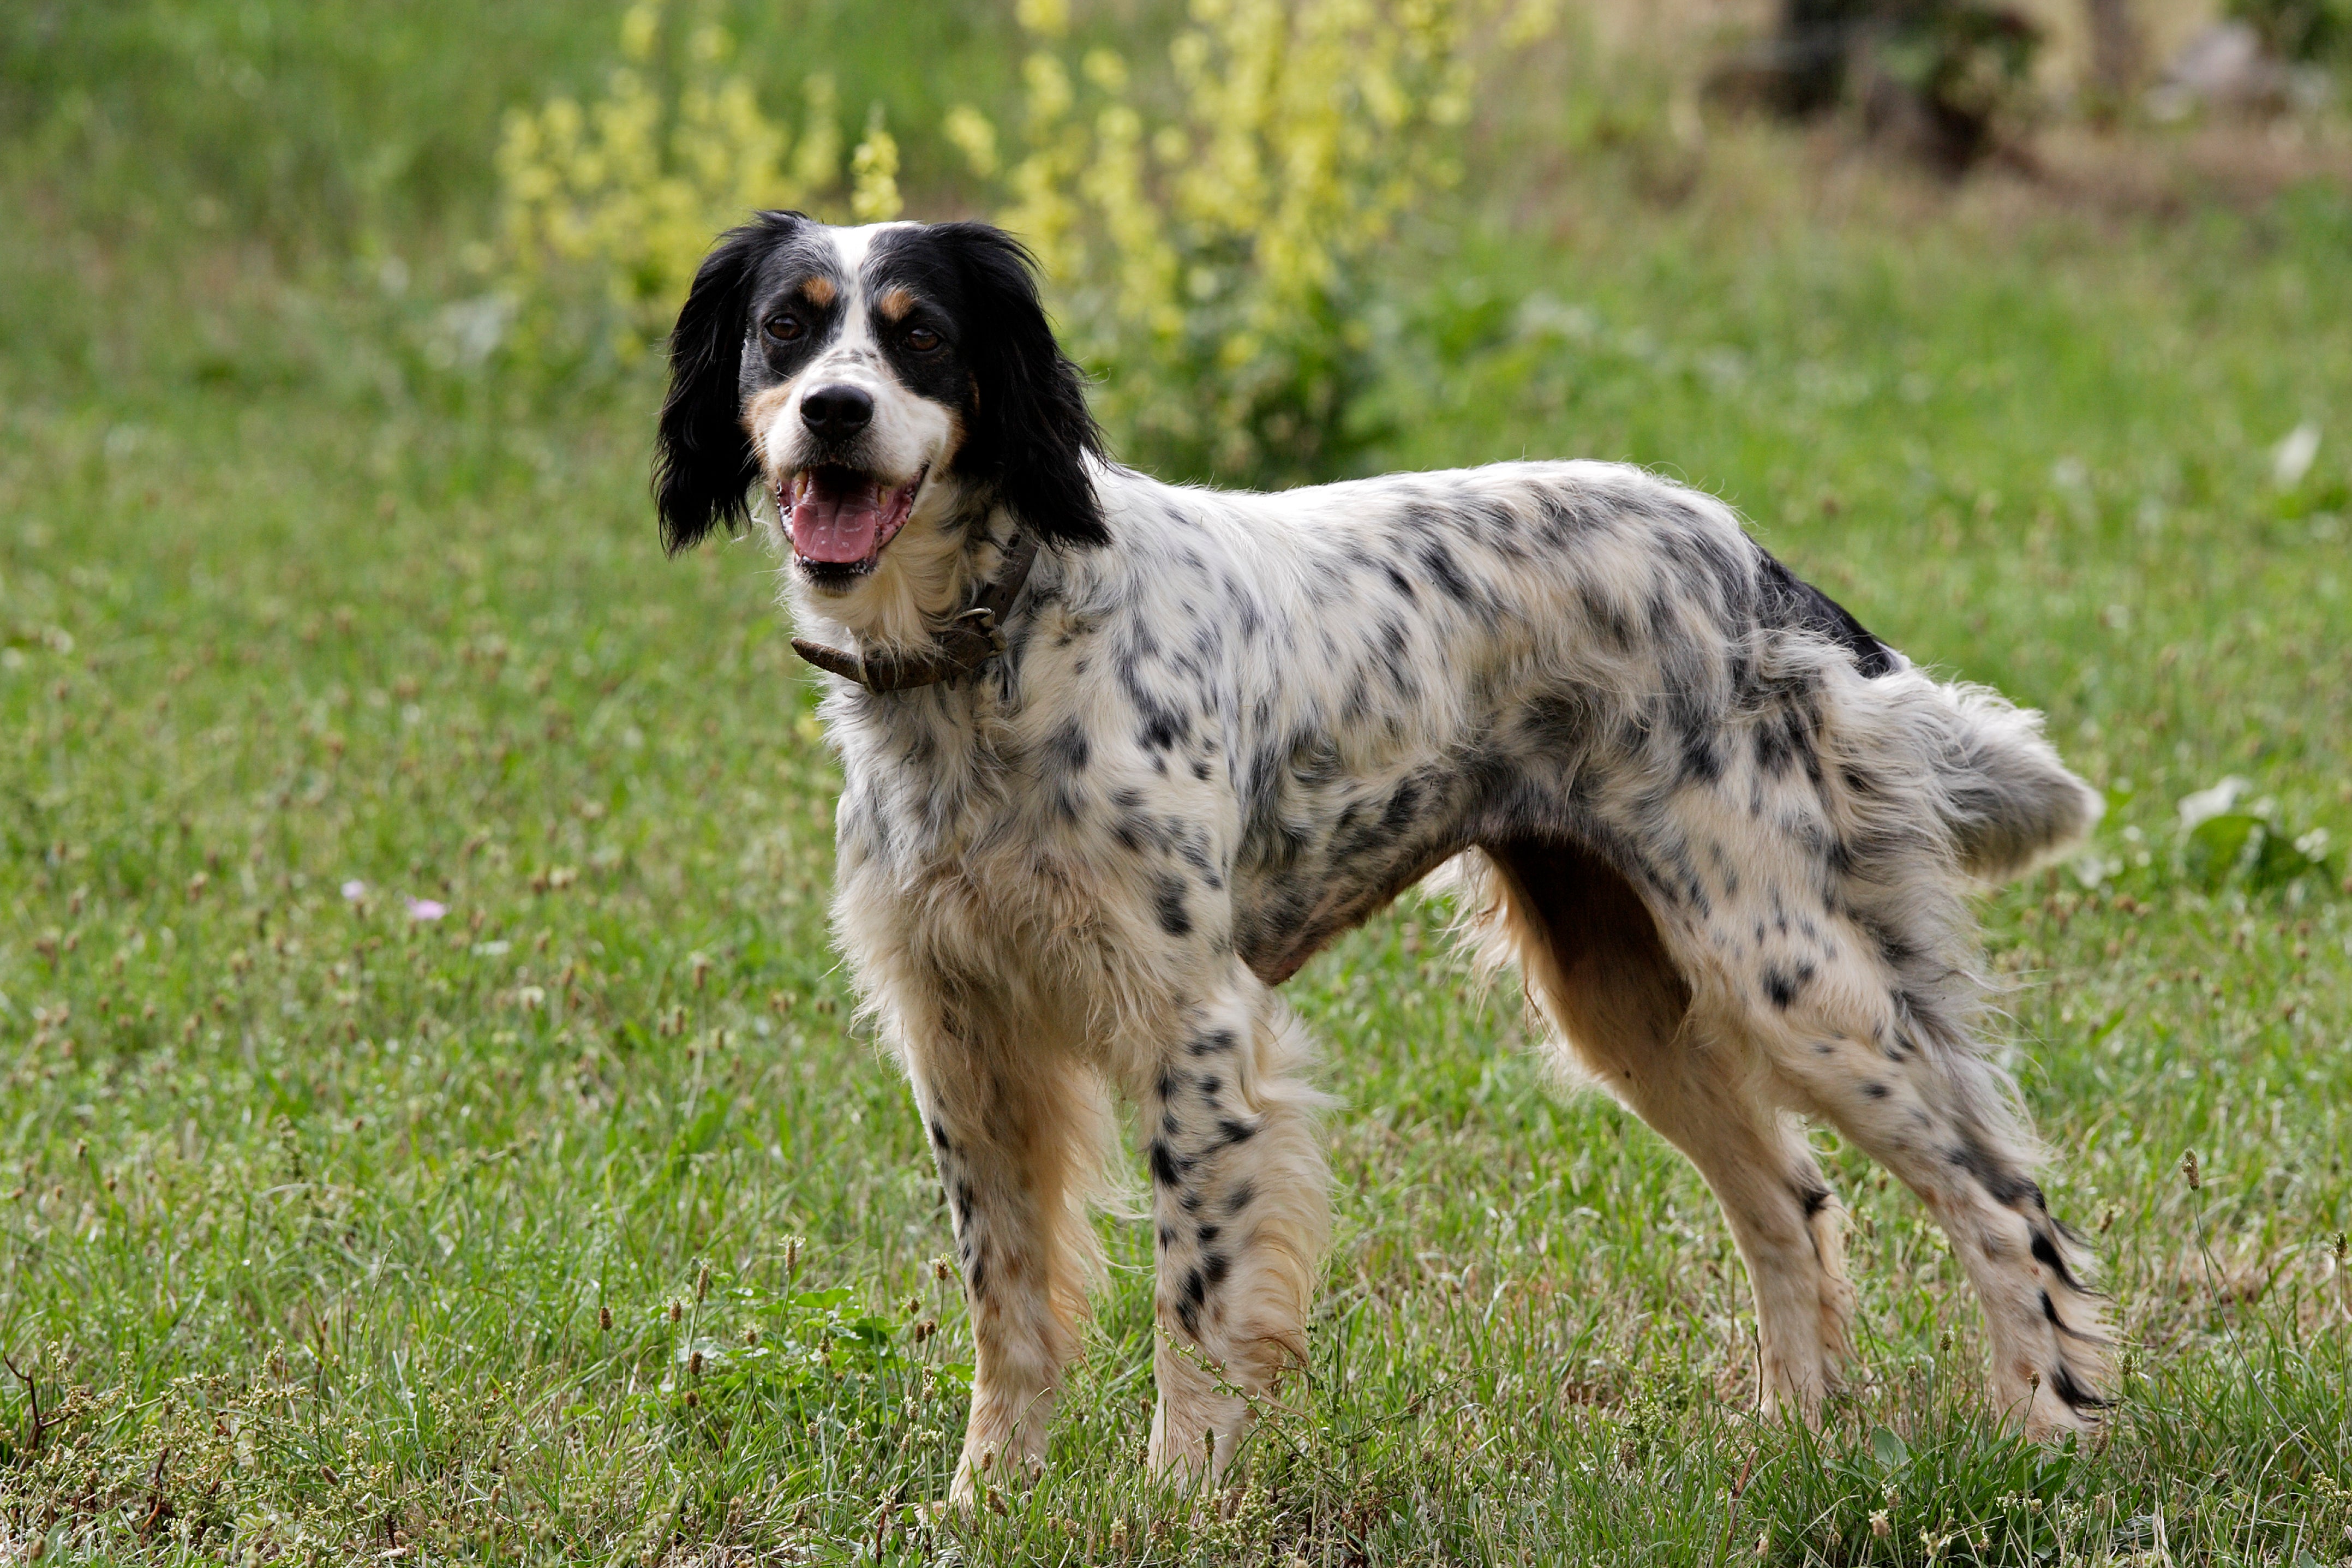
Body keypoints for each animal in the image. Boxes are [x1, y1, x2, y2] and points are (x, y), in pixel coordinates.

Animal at [649, 215, 2116, 1504]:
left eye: (921, 336)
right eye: (786, 329)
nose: (834, 411)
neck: (995, 646)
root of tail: (1751, 561)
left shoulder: (1193, 1029)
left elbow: (1195, 1312)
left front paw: (1172, 1499)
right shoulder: (962, 1039)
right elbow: (1006, 1310)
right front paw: (982, 1503)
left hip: (1781, 968)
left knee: (2002, 1201)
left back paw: (2049, 1438)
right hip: (1628, 996)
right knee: (1792, 1204)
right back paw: (1795, 1437)